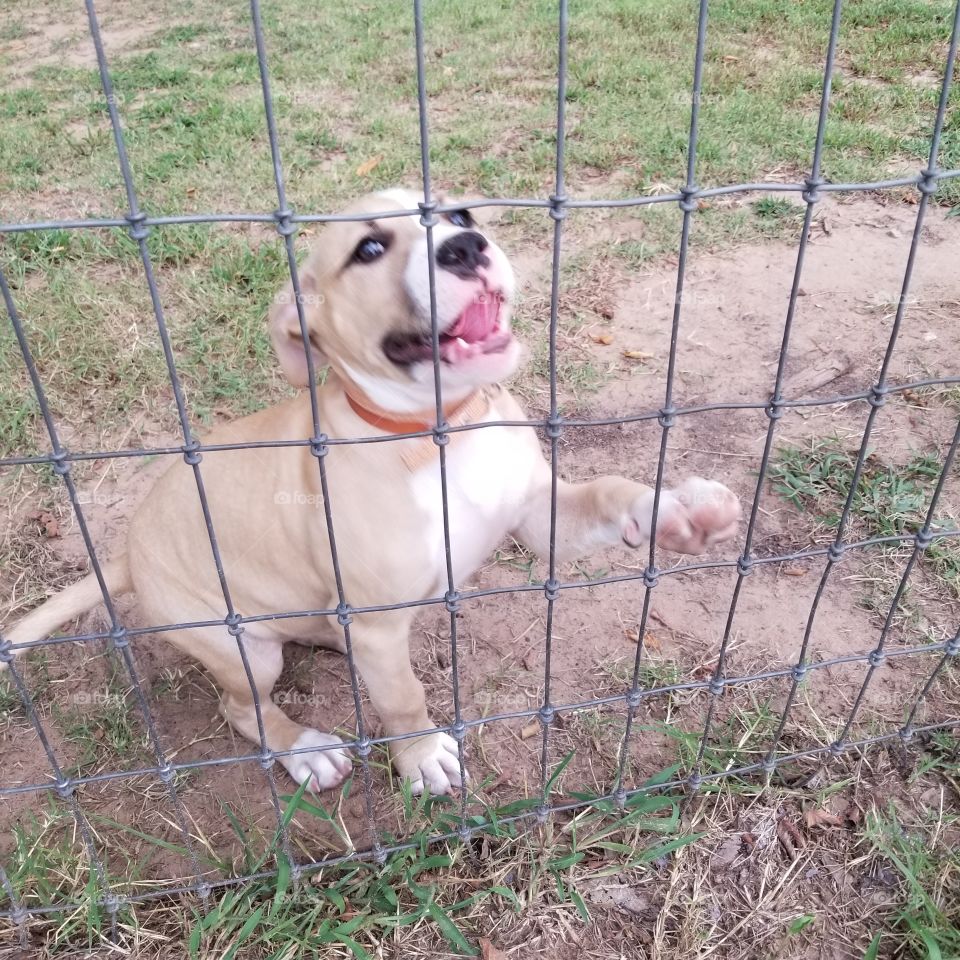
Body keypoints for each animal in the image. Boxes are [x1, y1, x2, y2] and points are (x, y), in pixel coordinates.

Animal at [1, 188, 744, 796]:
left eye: (460, 215)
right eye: (369, 249)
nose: (466, 247)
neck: (442, 429)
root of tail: (127, 556)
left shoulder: (540, 516)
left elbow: (614, 492)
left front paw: (679, 508)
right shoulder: (384, 628)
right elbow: (403, 697)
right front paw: (422, 758)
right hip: (240, 648)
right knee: (242, 707)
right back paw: (305, 750)